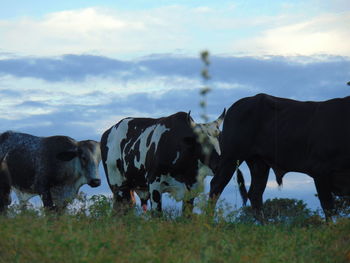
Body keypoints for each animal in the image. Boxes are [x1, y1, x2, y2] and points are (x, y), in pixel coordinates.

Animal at [211, 94, 350, 222]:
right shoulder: (320, 170)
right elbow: (328, 207)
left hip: (259, 163)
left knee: (255, 194)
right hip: (231, 156)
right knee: (216, 185)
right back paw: (208, 221)